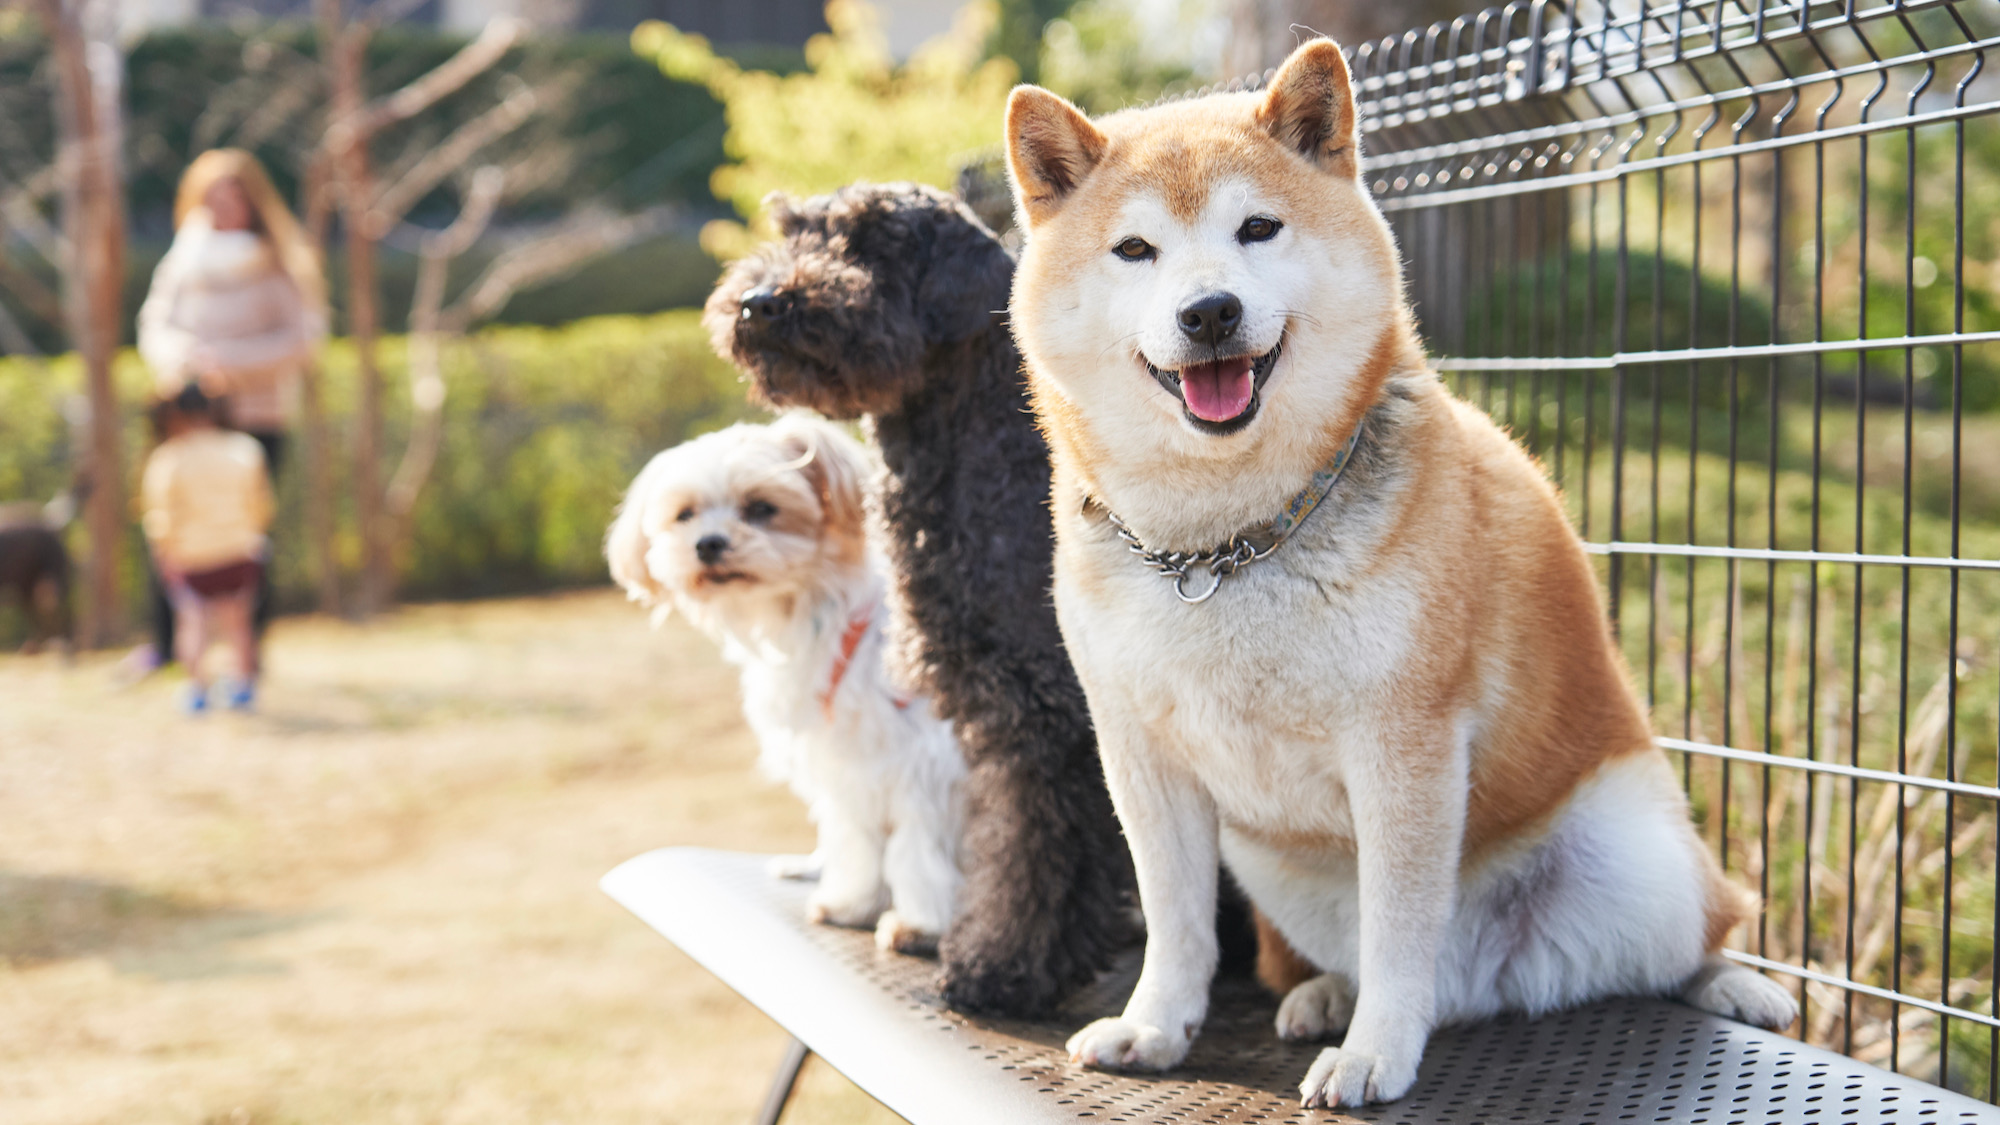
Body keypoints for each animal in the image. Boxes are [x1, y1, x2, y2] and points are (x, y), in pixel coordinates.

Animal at [608, 412, 968, 944]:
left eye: (762, 508)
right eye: (685, 514)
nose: (708, 544)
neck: (807, 613)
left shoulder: (927, 759)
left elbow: (918, 848)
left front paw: (921, 923)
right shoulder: (848, 763)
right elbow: (858, 842)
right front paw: (853, 903)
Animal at [704, 184, 1144, 1016]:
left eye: (873, 244)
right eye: (793, 230)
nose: (760, 302)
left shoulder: (1046, 713)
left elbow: (1037, 839)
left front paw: (1004, 967)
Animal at [1000, 35, 1800, 1104]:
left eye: (1258, 228)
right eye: (1135, 250)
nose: (1209, 311)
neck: (1225, 546)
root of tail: (1494, 977)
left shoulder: (1403, 744)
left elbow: (1399, 925)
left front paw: (1376, 1053)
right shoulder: (1141, 753)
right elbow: (1175, 923)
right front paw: (1156, 1026)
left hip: (1639, 860)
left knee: (1696, 932)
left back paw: (1733, 985)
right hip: (1279, 872)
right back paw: (1327, 995)